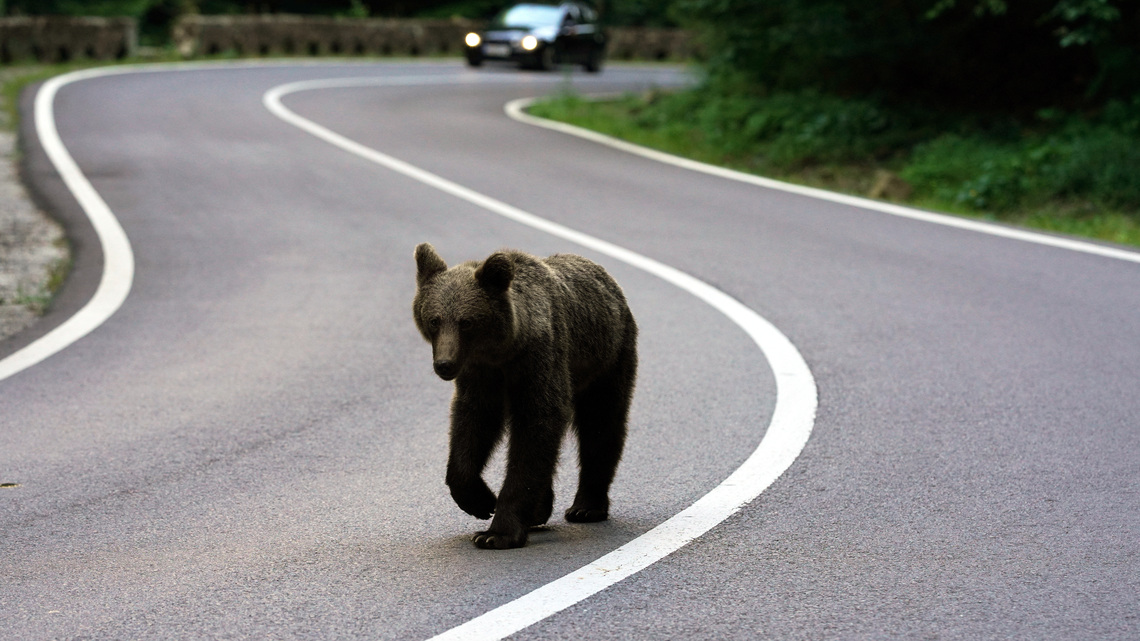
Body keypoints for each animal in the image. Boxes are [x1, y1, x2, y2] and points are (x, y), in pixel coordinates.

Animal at [413, 243, 638, 549]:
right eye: (434, 320)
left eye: (466, 321)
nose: (444, 364)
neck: (503, 351)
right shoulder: (481, 375)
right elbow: (471, 425)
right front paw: (481, 500)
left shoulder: (538, 360)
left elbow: (536, 429)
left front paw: (496, 532)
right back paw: (541, 509)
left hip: (607, 358)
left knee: (601, 423)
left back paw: (586, 507)